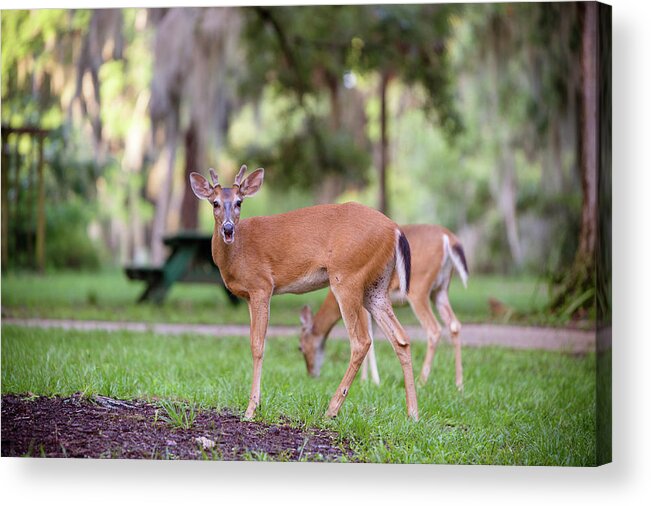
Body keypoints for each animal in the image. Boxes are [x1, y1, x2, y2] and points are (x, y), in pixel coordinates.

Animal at [191, 165, 420, 420]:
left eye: (239, 202)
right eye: (215, 203)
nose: (228, 227)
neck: (237, 253)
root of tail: (395, 230)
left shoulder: (262, 286)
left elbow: (258, 345)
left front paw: (251, 409)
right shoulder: (249, 296)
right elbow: (254, 342)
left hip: (347, 276)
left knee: (361, 341)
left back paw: (331, 410)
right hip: (375, 288)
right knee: (401, 338)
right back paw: (413, 413)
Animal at [300, 225, 468, 392]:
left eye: (300, 347)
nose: (311, 374)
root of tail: (448, 237)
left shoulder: (362, 306)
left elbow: (370, 340)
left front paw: (370, 380)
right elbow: (373, 336)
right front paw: (367, 379)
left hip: (419, 289)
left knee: (433, 329)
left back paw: (422, 381)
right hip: (440, 290)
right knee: (454, 324)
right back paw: (459, 384)